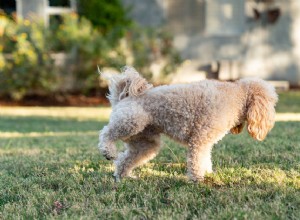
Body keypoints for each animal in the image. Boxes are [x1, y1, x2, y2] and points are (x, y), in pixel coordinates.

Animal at [99, 66, 278, 182]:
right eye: (271, 102)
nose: (271, 121)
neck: (237, 97)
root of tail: (124, 97)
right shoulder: (199, 139)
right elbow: (197, 160)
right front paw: (198, 179)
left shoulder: (205, 142)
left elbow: (205, 159)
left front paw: (207, 175)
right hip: (130, 122)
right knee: (106, 133)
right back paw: (108, 151)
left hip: (145, 142)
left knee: (125, 160)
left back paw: (123, 176)